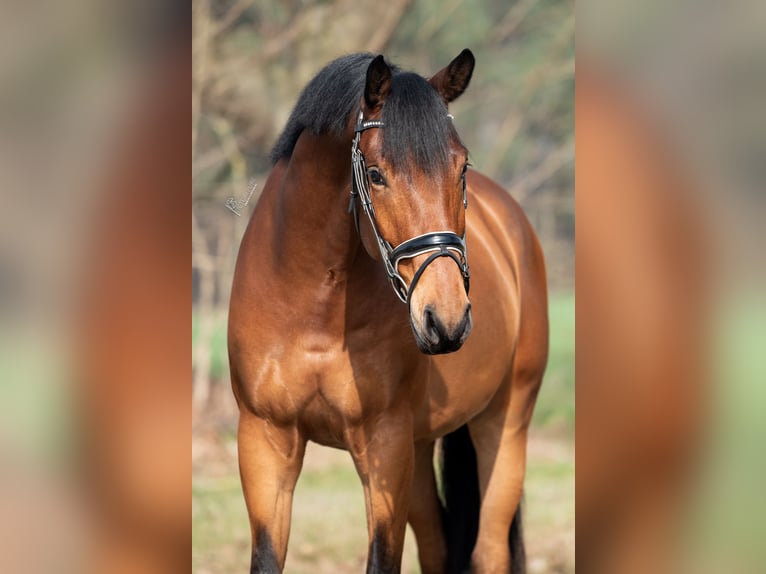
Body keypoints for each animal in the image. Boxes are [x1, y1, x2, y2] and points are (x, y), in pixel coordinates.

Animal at [228, 49, 548, 574]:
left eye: (461, 168)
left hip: (504, 424)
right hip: (421, 447)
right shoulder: (265, 442)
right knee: (439, 547)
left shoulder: (385, 444)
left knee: (489, 550)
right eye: (376, 174)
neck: (315, 312)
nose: (446, 319)